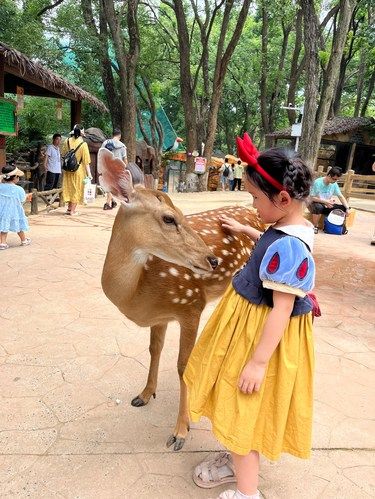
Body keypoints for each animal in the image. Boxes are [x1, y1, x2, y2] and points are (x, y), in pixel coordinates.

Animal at [100, 150, 264, 452]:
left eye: (180, 213)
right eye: (168, 218)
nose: (212, 260)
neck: (137, 293)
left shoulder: (191, 304)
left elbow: (182, 365)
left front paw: (180, 432)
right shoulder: (162, 316)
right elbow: (154, 349)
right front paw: (145, 394)